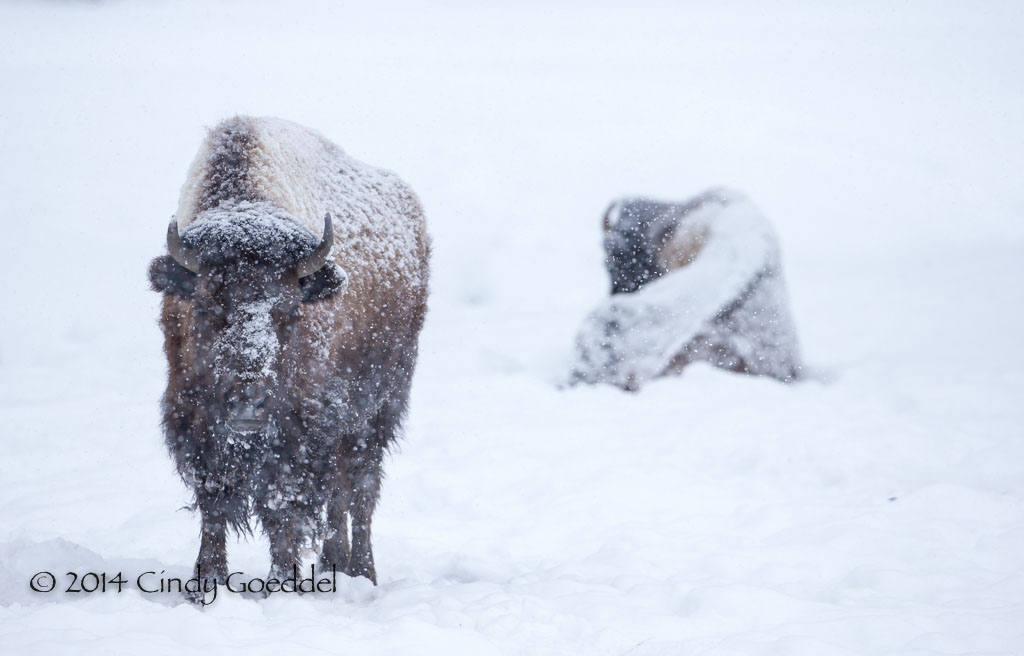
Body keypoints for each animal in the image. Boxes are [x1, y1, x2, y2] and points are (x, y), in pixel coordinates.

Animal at [148, 117, 428, 593]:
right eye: (205, 307)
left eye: (291, 310)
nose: (248, 404)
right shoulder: (193, 417)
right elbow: (213, 503)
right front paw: (207, 583)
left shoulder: (303, 429)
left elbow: (284, 509)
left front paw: (282, 584)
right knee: (341, 493)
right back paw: (334, 565)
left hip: (377, 408)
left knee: (360, 489)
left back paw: (361, 572)